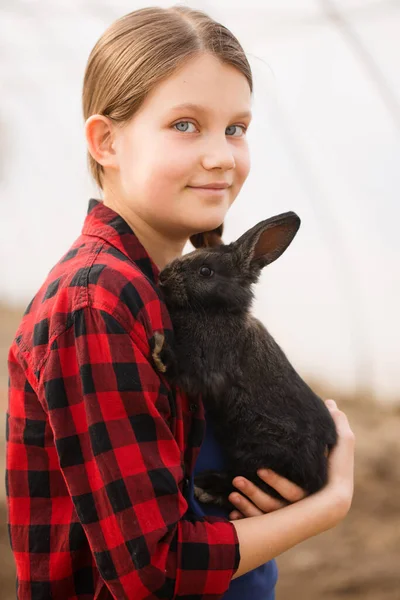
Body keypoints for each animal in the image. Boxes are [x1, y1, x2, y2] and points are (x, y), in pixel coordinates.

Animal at [155, 211, 336, 510]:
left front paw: (160, 352)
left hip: (263, 452)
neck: (217, 311)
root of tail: (320, 473)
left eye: (206, 271)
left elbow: (184, 369)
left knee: (246, 481)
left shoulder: (206, 366)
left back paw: (207, 488)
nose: (162, 278)